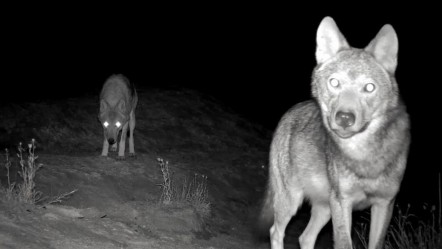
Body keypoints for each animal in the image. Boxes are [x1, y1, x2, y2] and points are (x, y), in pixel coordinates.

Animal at [258, 17, 410, 249]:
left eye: (369, 87)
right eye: (334, 82)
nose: (344, 118)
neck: (363, 157)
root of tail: (294, 108)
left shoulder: (385, 204)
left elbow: (376, 243)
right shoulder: (342, 201)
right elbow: (344, 243)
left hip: (325, 208)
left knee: (305, 237)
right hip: (292, 200)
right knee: (276, 231)